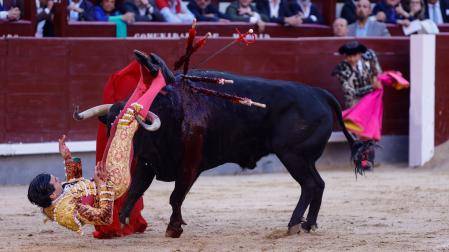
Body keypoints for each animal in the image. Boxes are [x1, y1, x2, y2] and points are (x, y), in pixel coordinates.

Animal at [80, 58, 372, 236]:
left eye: (131, 124)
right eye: (110, 123)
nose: (113, 147)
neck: (170, 112)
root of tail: (319, 93)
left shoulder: (190, 167)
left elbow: (175, 197)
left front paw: (174, 227)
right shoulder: (148, 162)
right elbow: (136, 190)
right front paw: (124, 221)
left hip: (293, 156)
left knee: (309, 185)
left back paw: (293, 224)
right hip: (304, 158)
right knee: (319, 184)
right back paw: (309, 224)